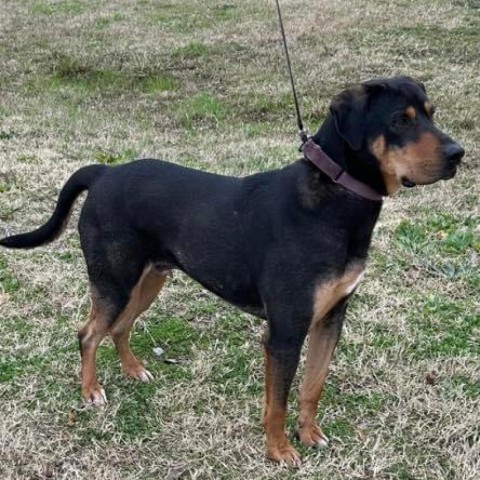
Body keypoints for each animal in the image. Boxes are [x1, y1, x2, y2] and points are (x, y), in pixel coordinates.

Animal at [0, 76, 464, 464]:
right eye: (399, 121)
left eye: (431, 113)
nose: (458, 154)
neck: (334, 199)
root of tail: (104, 172)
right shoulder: (285, 332)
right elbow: (277, 401)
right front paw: (279, 451)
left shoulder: (331, 318)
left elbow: (312, 386)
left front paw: (309, 434)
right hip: (114, 281)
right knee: (88, 333)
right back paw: (91, 390)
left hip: (149, 279)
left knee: (119, 327)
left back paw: (133, 370)